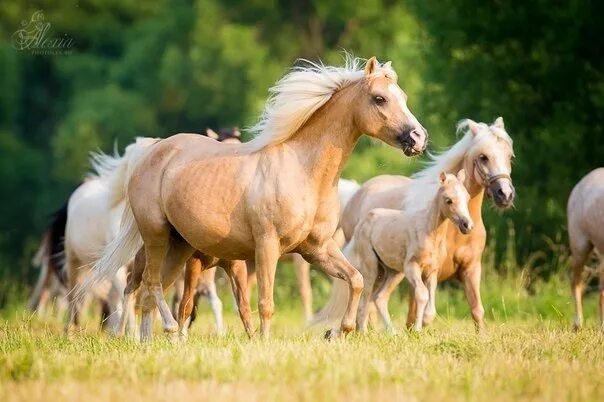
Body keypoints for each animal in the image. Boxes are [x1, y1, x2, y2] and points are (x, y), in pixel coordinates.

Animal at [79, 55, 430, 340]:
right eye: (379, 98)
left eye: (403, 97)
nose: (418, 138)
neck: (302, 170)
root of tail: (151, 153)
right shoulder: (267, 246)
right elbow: (264, 303)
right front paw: (263, 342)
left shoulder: (317, 249)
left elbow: (355, 280)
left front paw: (337, 332)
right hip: (156, 236)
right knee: (150, 287)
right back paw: (164, 331)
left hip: (179, 247)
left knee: (151, 294)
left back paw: (149, 342)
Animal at [352, 171, 474, 332]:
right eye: (449, 200)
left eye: (467, 198)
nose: (467, 225)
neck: (430, 232)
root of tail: (363, 221)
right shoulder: (412, 267)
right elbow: (422, 295)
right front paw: (416, 330)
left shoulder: (432, 271)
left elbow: (431, 307)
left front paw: (424, 323)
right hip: (371, 266)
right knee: (364, 301)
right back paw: (364, 332)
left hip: (392, 271)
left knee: (380, 297)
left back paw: (392, 332)